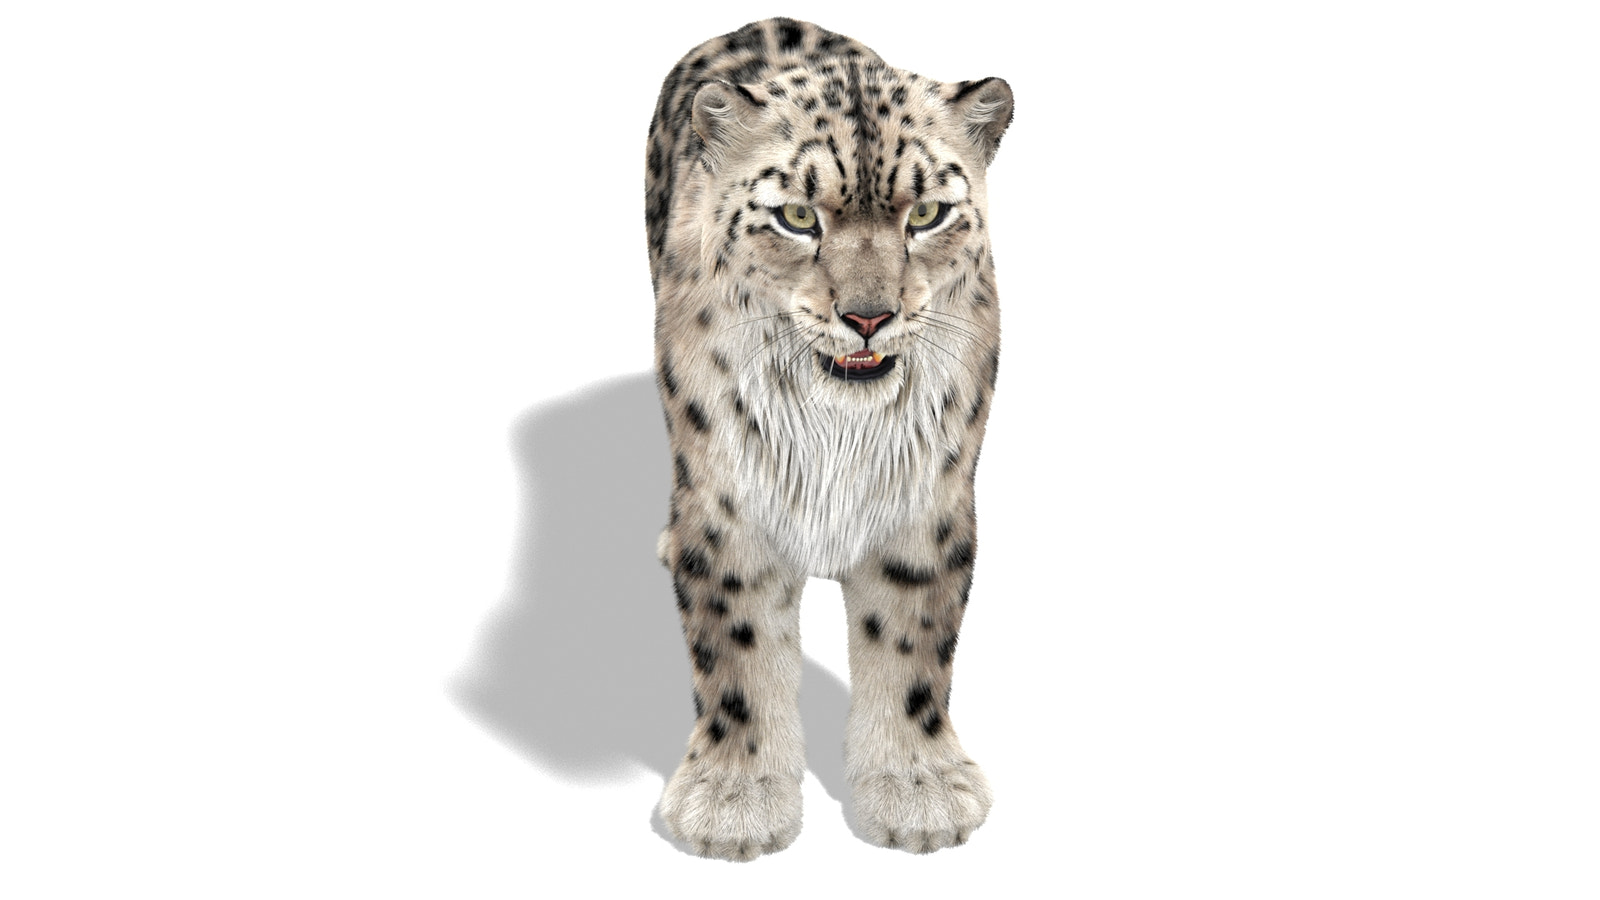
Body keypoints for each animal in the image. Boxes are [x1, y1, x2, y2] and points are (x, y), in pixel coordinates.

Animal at [645, 18, 1012, 860]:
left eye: (925, 214)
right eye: (799, 217)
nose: (868, 316)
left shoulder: (929, 495)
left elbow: (913, 641)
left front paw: (916, 789)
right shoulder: (728, 499)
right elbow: (738, 649)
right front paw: (736, 803)